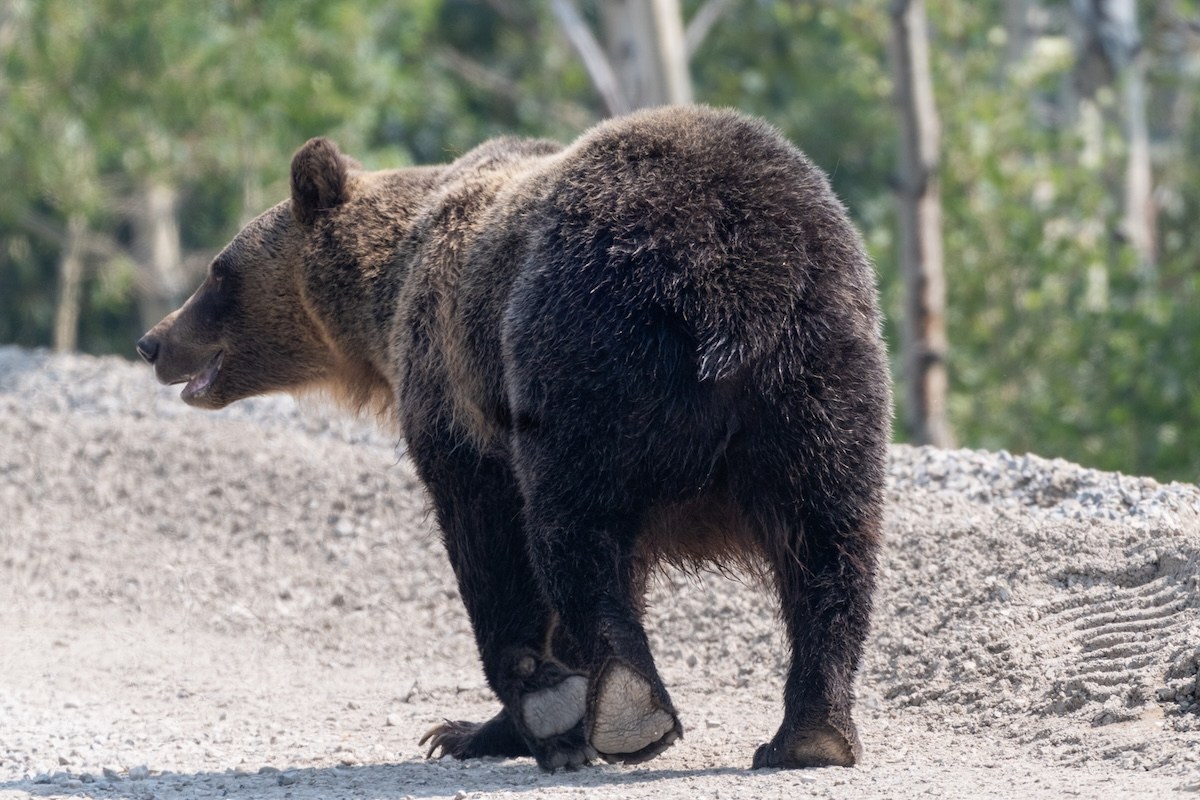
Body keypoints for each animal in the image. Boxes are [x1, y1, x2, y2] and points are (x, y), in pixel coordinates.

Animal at [137, 105, 891, 772]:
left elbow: (489, 538)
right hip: (822, 376)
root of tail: (732, 281)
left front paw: (522, 711)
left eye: (219, 271)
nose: (153, 341)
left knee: (572, 525)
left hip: (587, 348)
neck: (387, 293)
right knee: (828, 543)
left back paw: (628, 706)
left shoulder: (452, 384)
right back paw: (810, 733)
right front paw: (481, 728)